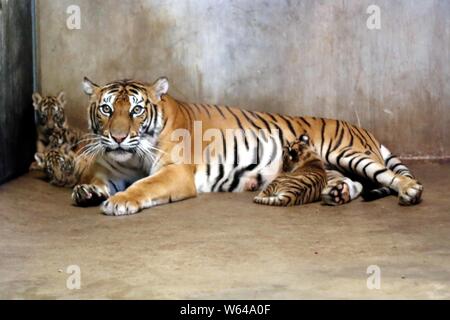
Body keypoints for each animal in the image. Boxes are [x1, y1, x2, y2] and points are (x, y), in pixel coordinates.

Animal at [72, 77, 424, 216]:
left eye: (136, 110)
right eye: (106, 109)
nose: (118, 137)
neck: (131, 157)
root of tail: (363, 128)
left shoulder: (175, 172)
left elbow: (144, 186)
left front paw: (120, 202)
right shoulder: (111, 168)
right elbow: (95, 180)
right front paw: (86, 192)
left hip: (347, 153)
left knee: (393, 177)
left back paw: (410, 192)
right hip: (328, 168)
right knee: (353, 182)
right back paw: (336, 194)